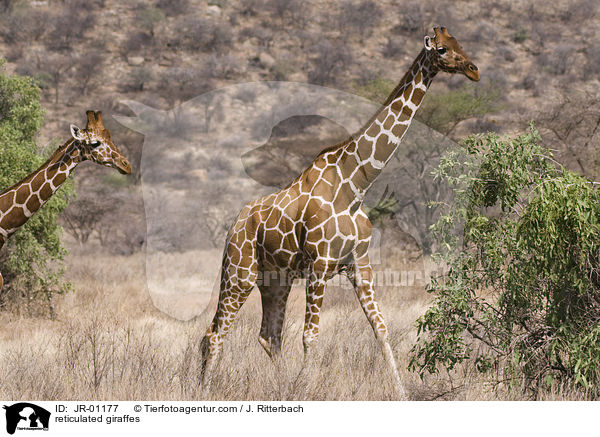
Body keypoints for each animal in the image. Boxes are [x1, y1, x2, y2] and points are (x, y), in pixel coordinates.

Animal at [200, 25, 478, 396]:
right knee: (215, 333)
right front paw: (306, 388)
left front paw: (401, 393)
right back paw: (203, 390)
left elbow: (381, 328)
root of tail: (234, 225)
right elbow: (310, 335)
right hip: (238, 272)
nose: (474, 70)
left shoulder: (360, 264)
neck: (355, 187)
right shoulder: (319, 265)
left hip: (275, 281)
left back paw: (280, 385)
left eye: (460, 42)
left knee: (268, 336)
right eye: (443, 49)